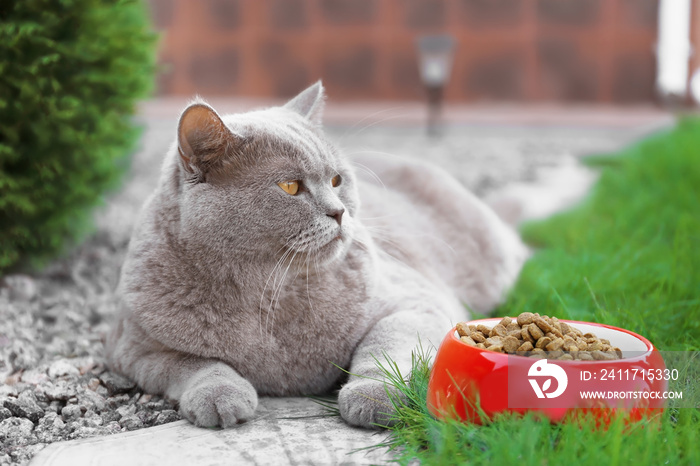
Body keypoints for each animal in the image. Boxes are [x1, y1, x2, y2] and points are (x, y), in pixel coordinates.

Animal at [106, 81, 528, 430]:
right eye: (291, 187)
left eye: (337, 180)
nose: (339, 212)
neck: (269, 294)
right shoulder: (135, 351)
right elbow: (193, 364)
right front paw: (219, 397)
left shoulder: (417, 304)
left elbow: (384, 347)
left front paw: (373, 396)